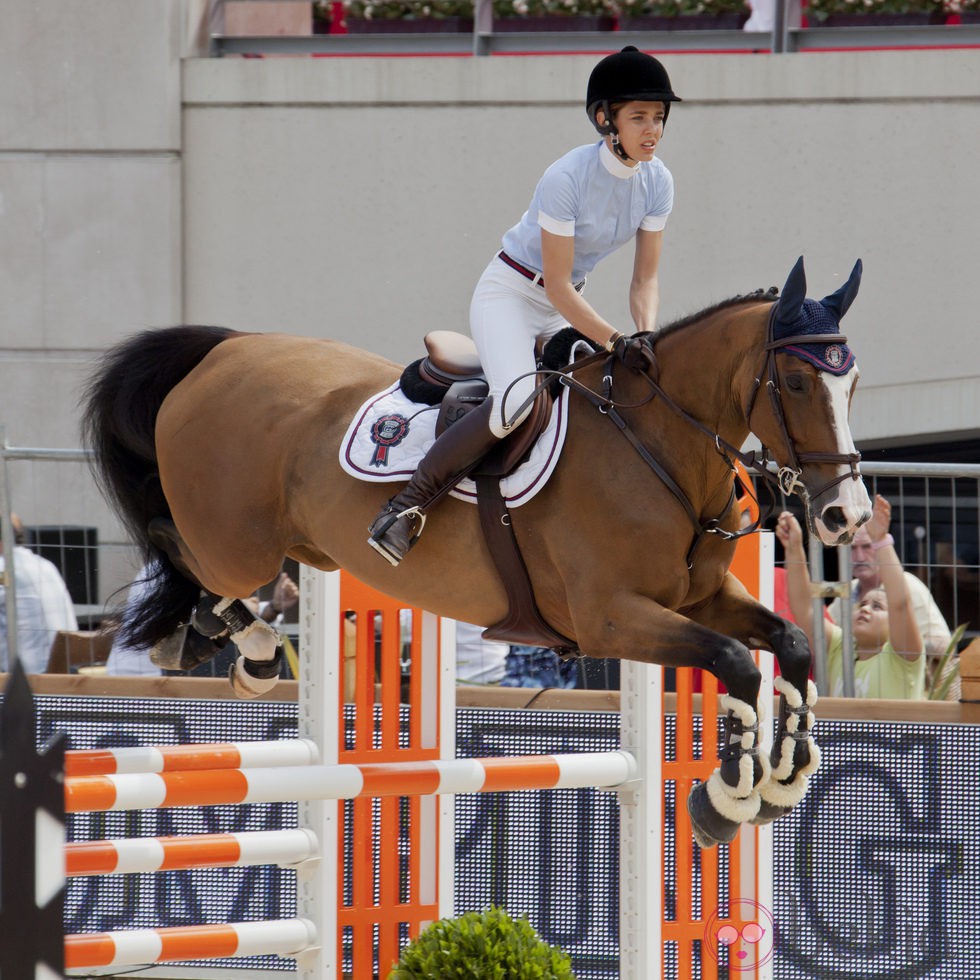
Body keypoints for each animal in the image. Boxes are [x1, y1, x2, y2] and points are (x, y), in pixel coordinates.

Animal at [80, 256, 868, 848]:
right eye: (797, 380)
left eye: (852, 381)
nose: (846, 516)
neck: (657, 446)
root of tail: (226, 349)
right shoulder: (611, 618)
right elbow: (736, 662)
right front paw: (727, 797)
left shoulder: (700, 600)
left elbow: (792, 644)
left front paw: (785, 780)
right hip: (238, 543)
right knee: (173, 543)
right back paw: (238, 644)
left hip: (306, 546)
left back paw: (226, 643)